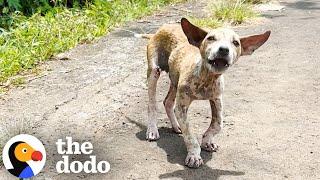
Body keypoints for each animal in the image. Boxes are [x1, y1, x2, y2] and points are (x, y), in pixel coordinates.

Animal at [144, 17, 270, 168]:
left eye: (235, 43)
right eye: (211, 38)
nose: (224, 50)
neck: (205, 78)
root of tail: (160, 29)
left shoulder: (217, 99)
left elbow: (218, 124)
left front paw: (207, 141)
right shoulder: (181, 107)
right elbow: (189, 135)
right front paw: (194, 155)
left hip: (175, 81)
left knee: (167, 102)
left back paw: (175, 126)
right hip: (154, 72)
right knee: (152, 104)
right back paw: (152, 130)